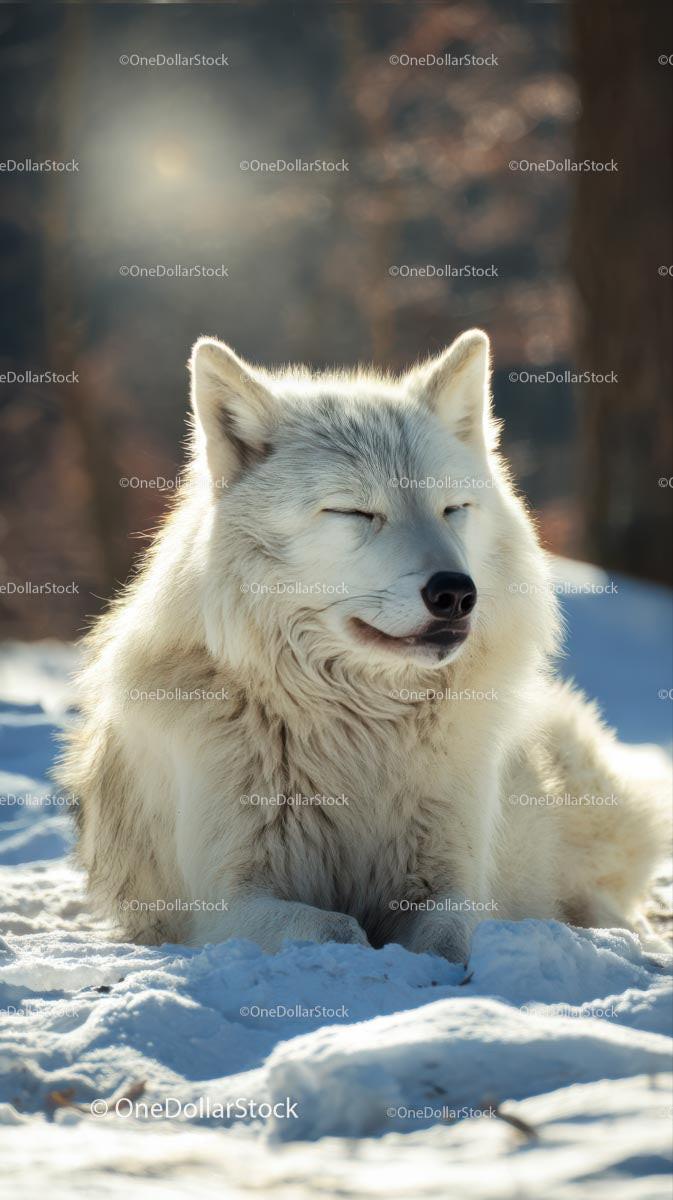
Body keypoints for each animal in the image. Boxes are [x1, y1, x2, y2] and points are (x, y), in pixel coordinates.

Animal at [57, 330, 670, 959]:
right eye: (355, 511)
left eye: (453, 508)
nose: (456, 593)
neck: (362, 731)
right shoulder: (225, 908)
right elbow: (338, 929)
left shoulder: (451, 884)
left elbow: (452, 938)